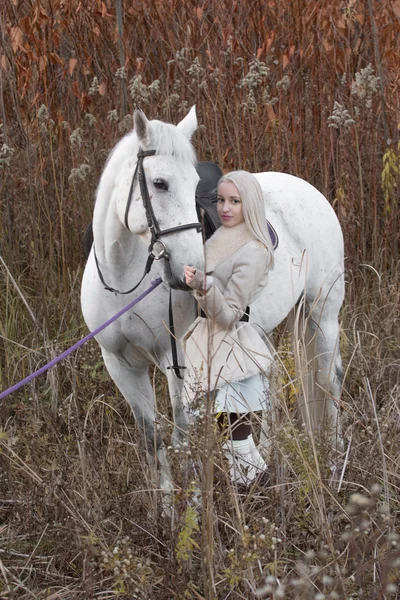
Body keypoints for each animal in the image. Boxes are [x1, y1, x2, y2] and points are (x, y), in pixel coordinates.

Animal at [80, 106, 344, 492]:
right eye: (160, 183)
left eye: (194, 184)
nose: (191, 267)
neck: (123, 280)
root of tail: (310, 191)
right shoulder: (120, 365)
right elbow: (153, 440)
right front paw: (164, 506)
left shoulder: (177, 362)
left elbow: (182, 439)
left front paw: (190, 500)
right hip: (257, 329)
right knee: (273, 378)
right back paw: (269, 460)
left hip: (322, 313)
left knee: (329, 380)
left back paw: (333, 461)